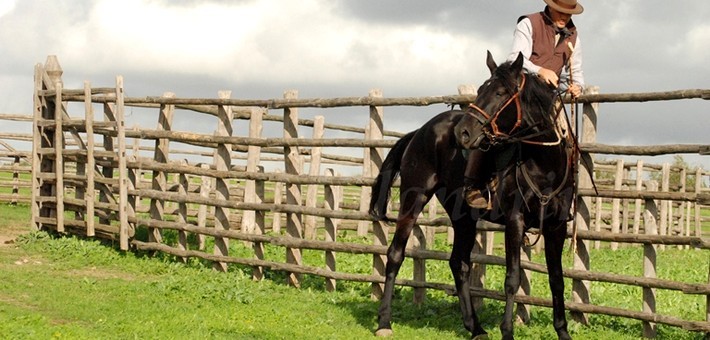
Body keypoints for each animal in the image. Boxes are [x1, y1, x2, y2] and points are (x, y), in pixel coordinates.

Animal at [372, 51, 580, 338]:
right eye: (481, 90)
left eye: (501, 92)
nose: (464, 132)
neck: (542, 164)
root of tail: (420, 132)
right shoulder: (515, 222)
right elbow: (512, 278)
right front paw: (507, 331)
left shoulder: (556, 226)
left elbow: (557, 279)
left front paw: (562, 331)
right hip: (413, 200)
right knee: (395, 254)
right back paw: (384, 322)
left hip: (463, 217)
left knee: (459, 263)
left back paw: (475, 327)